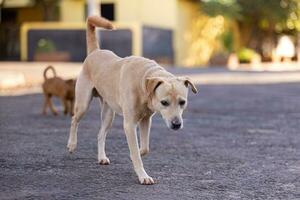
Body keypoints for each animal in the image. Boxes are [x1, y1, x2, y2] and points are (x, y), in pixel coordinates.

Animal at [66, 16, 197, 185]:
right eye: (164, 102)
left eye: (182, 102)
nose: (176, 124)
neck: (144, 80)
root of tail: (95, 51)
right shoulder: (129, 125)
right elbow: (135, 152)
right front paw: (143, 175)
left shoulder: (146, 120)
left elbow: (144, 148)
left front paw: (138, 154)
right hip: (83, 103)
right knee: (74, 119)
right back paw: (72, 144)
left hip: (108, 114)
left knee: (100, 134)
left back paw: (102, 157)